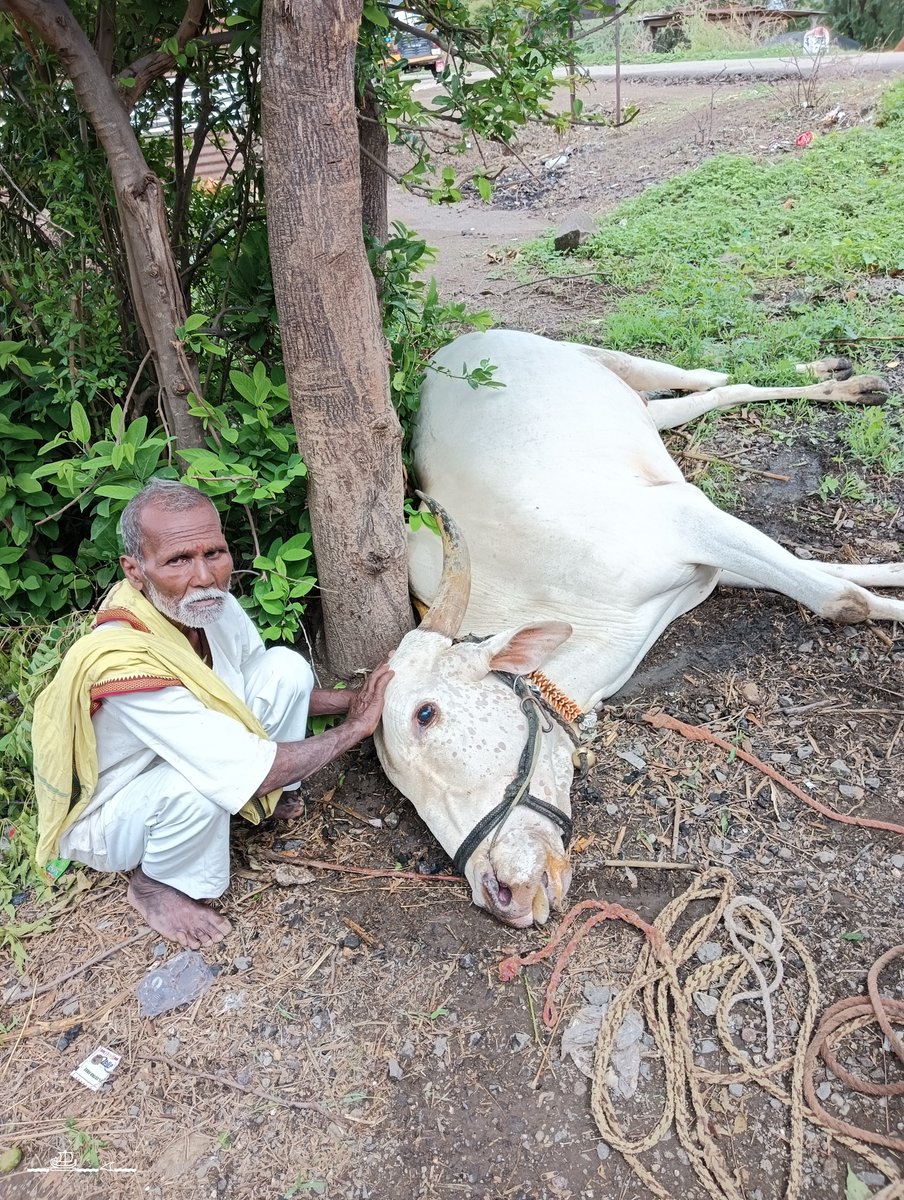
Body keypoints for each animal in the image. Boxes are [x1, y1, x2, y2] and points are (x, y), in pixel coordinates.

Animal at [373, 330, 904, 928]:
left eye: (425, 715)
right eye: (398, 784)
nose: (501, 893)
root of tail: (463, 341)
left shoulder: (688, 519)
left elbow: (839, 597)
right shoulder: (705, 564)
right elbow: (833, 577)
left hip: (606, 362)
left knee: (709, 377)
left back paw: (842, 376)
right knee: (701, 397)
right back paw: (847, 382)